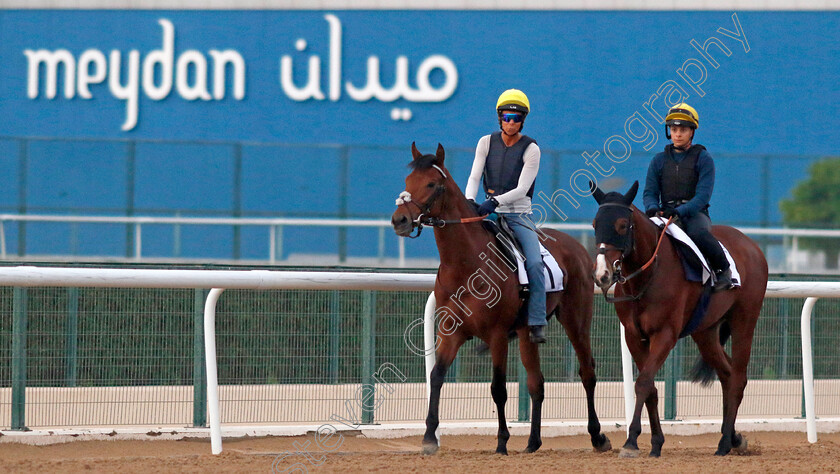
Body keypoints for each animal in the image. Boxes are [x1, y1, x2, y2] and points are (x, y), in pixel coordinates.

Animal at [394, 143, 612, 456]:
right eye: (408, 182)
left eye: (432, 184)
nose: (399, 219)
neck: (466, 265)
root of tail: (579, 248)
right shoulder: (450, 332)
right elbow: (436, 375)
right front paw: (429, 437)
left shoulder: (496, 334)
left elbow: (498, 387)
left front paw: (501, 441)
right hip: (526, 331)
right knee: (536, 383)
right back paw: (533, 441)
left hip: (577, 320)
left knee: (587, 372)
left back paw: (597, 436)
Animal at [592, 181, 768, 456]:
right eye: (594, 224)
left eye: (621, 225)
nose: (602, 275)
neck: (647, 276)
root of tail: (752, 246)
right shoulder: (634, 335)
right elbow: (651, 388)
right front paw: (655, 443)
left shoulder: (665, 334)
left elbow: (643, 382)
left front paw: (631, 441)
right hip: (705, 332)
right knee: (727, 374)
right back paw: (732, 438)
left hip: (744, 320)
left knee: (738, 377)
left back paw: (725, 442)